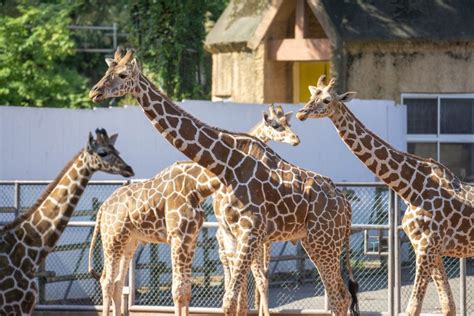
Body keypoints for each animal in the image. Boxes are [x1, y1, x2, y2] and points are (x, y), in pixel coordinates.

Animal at [0, 129, 133, 316]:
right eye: (102, 152)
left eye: (117, 151)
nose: (128, 169)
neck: (29, 250)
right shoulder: (14, 306)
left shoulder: (24, 308)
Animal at [86, 105, 298, 316]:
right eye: (276, 125)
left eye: (288, 122)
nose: (296, 139)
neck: (198, 183)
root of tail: (102, 208)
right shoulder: (186, 237)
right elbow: (182, 288)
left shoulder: (193, 236)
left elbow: (188, 289)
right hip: (112, 239)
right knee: (107, 280)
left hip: (130, 242)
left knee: (117, 282)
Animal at [296, 76, 474, 316]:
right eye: (311, 96)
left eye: (326, 100)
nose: (301, 113)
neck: (411, 188)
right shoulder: (429, 249)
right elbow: (447, 305)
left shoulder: (427, 248)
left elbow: (413, 307)